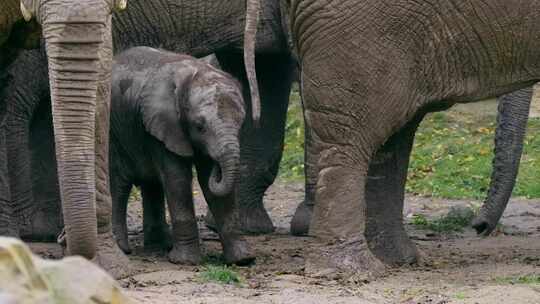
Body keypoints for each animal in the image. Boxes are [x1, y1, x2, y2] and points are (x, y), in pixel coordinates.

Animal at [110, 46, 253, 264]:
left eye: (241, 122)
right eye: (200, 126)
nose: (217, 168)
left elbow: (212, 189)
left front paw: (242, 259)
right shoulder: (163, 125)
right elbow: (177, 180)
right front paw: (186, 261)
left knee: (152, 185)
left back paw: (160, 246)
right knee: (120, 184)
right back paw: (124, 249)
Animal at [252, 0, 540, 274]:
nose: (478, 227)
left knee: (391, 135)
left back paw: (398, 260)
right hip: (361, 35)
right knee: (352, 133)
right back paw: (353, 270)